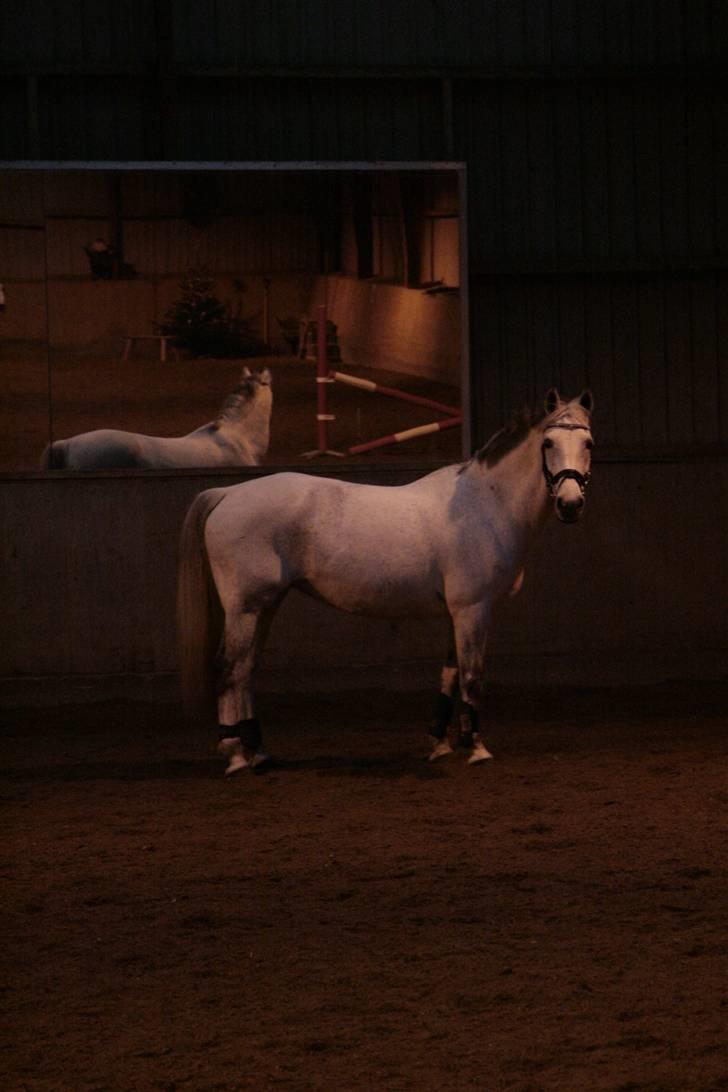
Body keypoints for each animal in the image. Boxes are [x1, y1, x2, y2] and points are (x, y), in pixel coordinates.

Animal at [177, 388, 594, 775]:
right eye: (548, 443)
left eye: (588, 443)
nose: (570, 504)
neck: (485, 504)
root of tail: (228, 492)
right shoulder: (473, 609)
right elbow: (472, 676)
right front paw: (476, 748)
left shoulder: (454, 612)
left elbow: (449, 673)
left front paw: (441, 744)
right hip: (246, 607)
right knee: (230, 667)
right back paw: (235, 756)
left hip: (267, 604)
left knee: (246, 669)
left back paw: (258, 751)